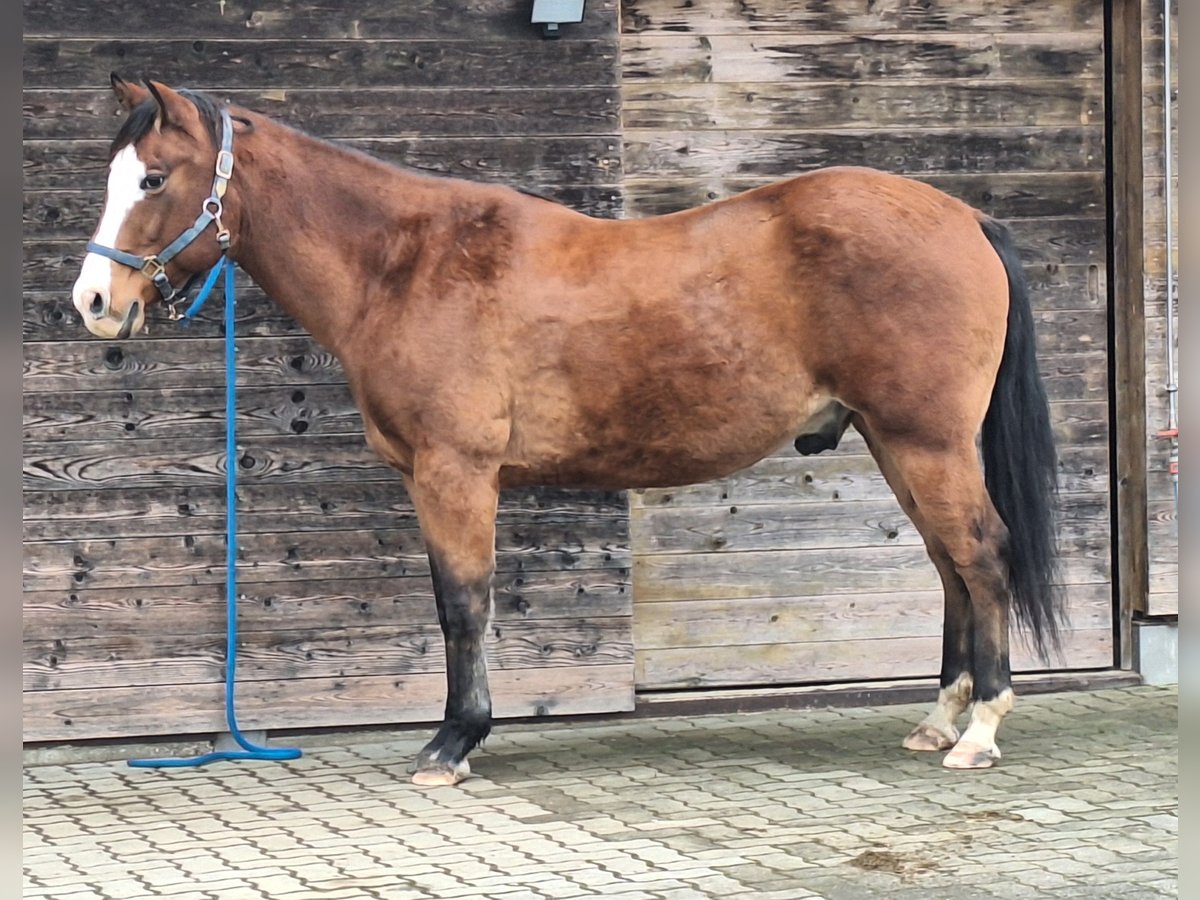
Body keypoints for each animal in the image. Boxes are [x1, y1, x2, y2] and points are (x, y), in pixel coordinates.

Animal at [70, 75, 1062, 786]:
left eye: (154, 178)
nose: (94, 304)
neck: (405, 265)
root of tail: (965, 216)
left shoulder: (457, 473)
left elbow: (463, 605)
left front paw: (454, 743)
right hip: (897, 445)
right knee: (949, 564)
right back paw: (938, 719)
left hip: (926, 442)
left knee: (981, 554)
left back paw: (979, 730)